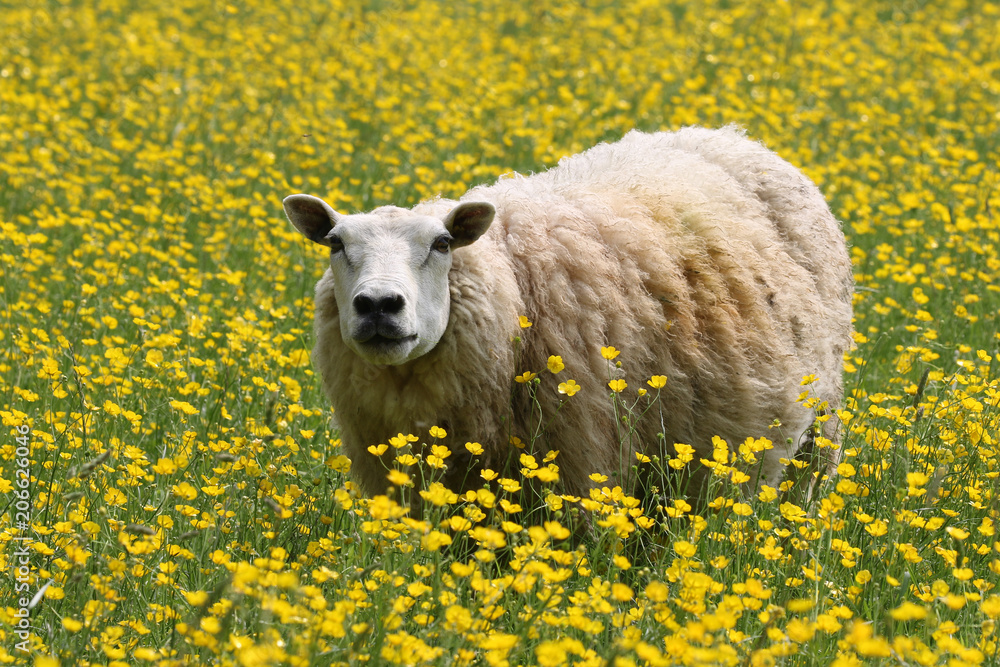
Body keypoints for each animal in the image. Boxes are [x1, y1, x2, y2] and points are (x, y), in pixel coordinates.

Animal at [286, 125, 856, 504]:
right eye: (335, 243)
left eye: (443, 243)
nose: (379, 305)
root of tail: (731, 136)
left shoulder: (580, 466)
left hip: (820, 422)